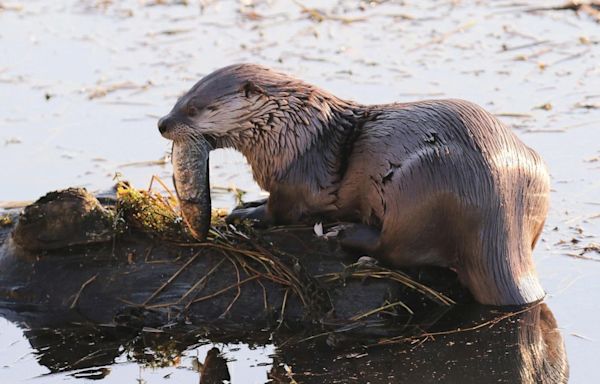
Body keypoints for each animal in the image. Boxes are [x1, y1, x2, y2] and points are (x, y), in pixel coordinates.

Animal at [157, 64, 552, 308]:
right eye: (179, 98)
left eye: (193, 109)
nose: (162, 123)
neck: (290, 133)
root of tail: (499, 212)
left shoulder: (295, 179)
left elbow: (281, 210)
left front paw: (248, 214)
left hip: (423, 182)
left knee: (396, 249)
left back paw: (347, 234)